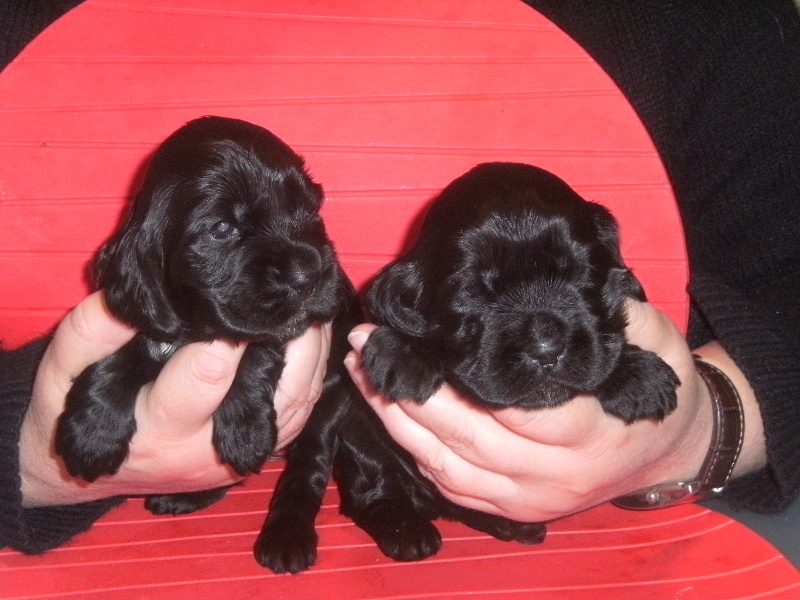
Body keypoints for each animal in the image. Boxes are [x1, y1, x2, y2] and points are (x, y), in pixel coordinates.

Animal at [55, 116, 350, 515]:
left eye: (311, 208)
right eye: (222, 228)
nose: (309, 274)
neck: (195, 328)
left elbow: (256, 352)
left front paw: (246, 432)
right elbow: (119, 353)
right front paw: (91, 434)